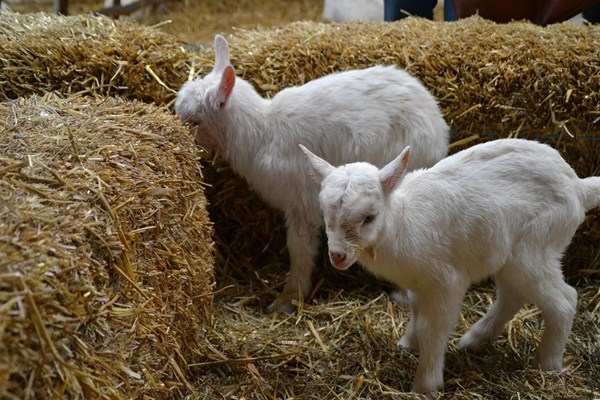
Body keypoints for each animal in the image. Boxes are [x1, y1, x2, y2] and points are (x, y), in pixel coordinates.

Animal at [304, 139, 600, 396]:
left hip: (537, 246)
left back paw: (548, 364)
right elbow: (416, 312)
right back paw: (474, 340)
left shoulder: (444, 281)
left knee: (564, 300)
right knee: (512, 295)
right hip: (509, 256)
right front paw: (408, 343)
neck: (402, 223)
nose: (338, 256)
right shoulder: (418, 283)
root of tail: (578, 187)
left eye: (369, 217)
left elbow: (433, 328)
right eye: (325, 215)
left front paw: (424, 385)